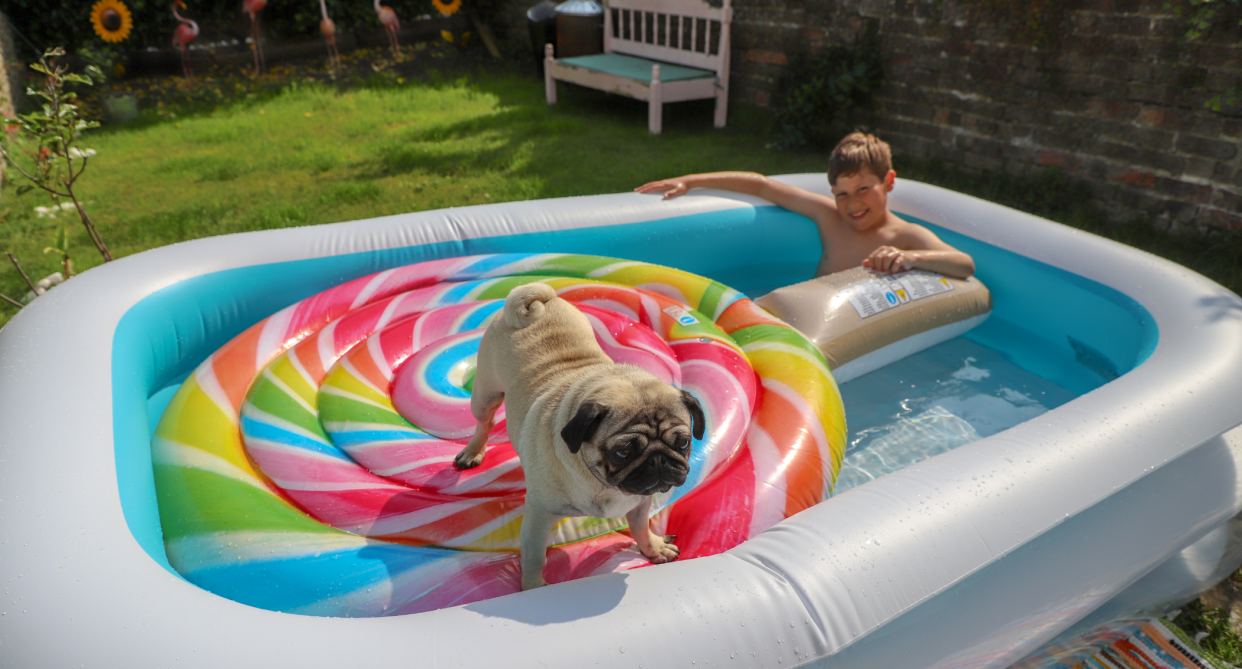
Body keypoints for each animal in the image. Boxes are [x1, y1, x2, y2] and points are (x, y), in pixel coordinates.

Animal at [457, 282, 710, 590]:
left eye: (683, 442)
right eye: (622, 452)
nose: (658, 461)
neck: (605, 483)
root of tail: (541, 299)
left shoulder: (640, 502)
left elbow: (640, 527)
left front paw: (653, 548)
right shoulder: (538, 517)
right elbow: (534, 557)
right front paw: (533, 589)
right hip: (485, 393)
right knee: (485, 421)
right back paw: (473, 451)